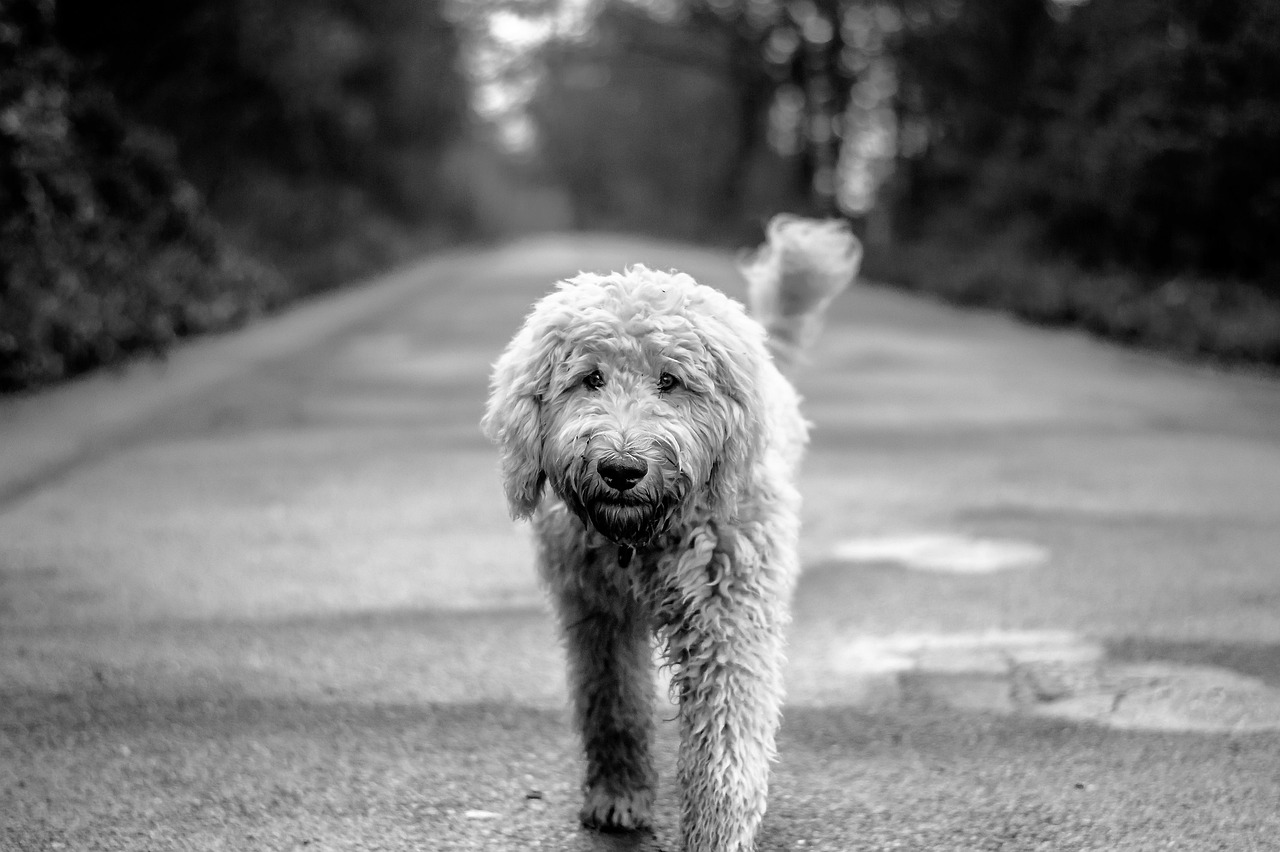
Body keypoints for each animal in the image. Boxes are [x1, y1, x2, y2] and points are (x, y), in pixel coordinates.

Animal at [481, 213, 860, 849]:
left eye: (671, 380)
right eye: (590, 378)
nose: (621, 469)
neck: (644, 538)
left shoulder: (728, 615)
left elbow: (726, 735)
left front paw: (717, 833)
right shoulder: (596, 615)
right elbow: (612, 704)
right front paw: (619, 795)